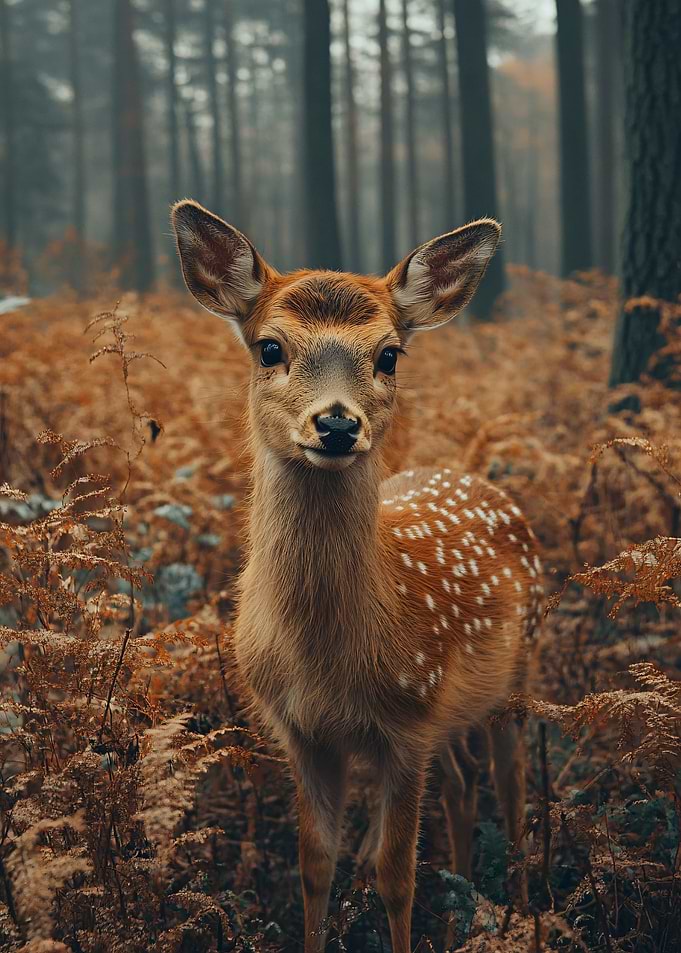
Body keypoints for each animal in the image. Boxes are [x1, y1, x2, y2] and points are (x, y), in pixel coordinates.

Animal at [171, 199, 543, 953]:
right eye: (269, 348)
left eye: (389, 354)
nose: (337, 424)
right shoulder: (301, 730)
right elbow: (316, 864)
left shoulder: (409, 718)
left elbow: (392, 874)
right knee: (462, 782)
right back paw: (464, 892)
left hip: (518, 674)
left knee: (512, 790)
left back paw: (517, 911)